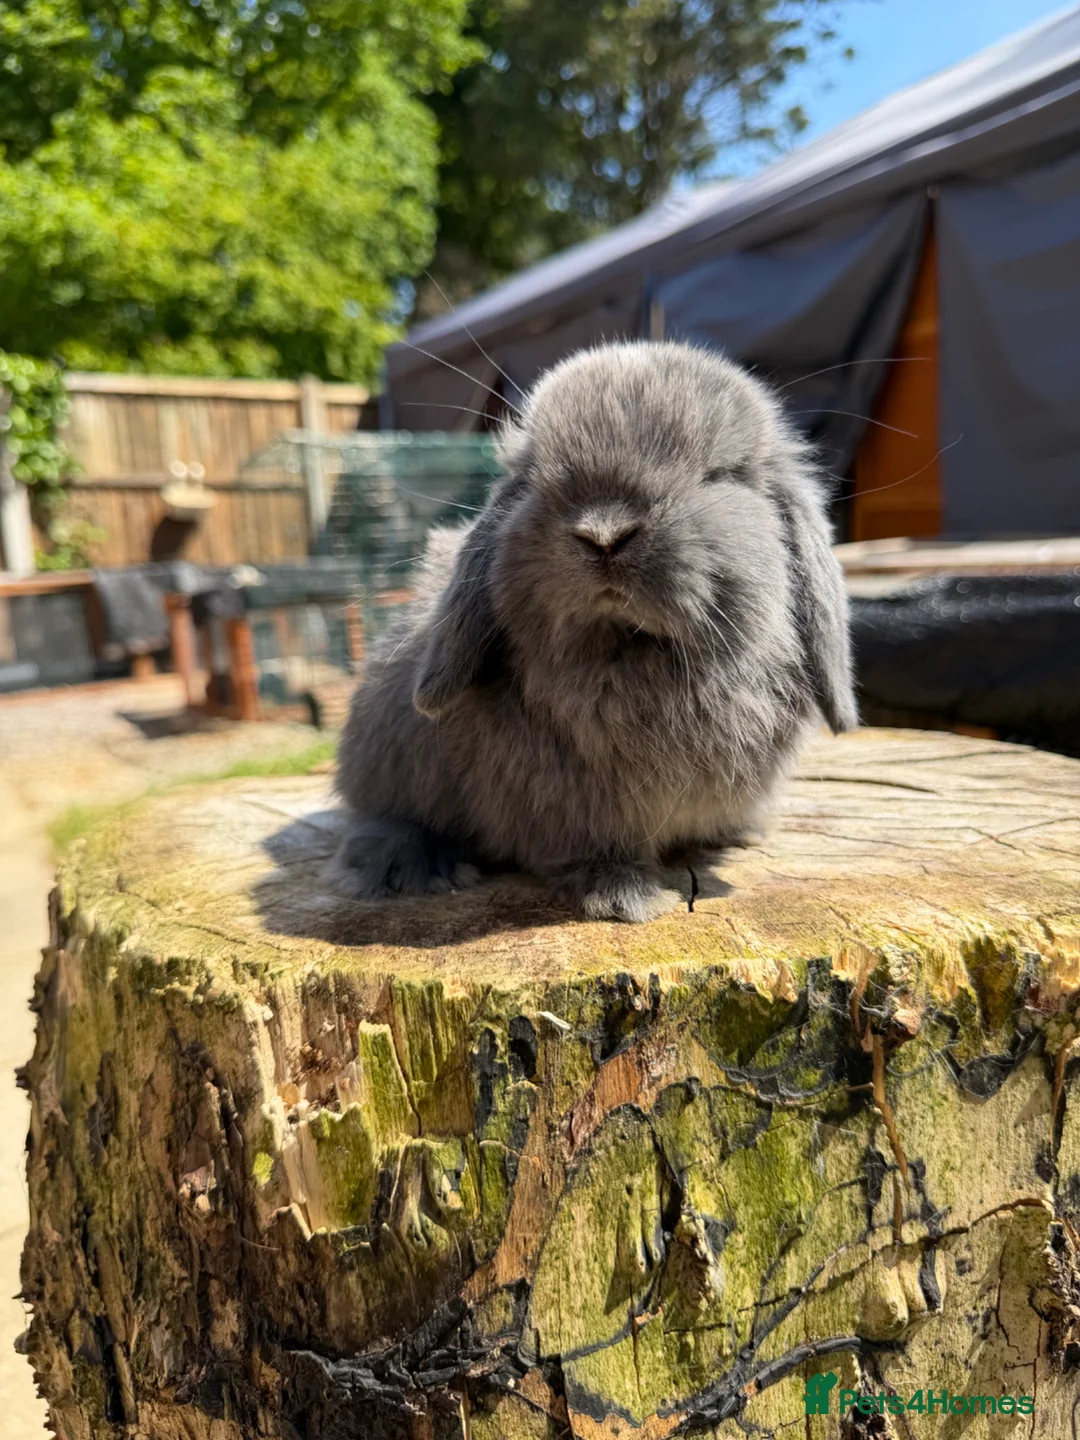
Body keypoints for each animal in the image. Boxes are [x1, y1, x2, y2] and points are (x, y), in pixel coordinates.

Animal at [332, 340, 857, 922]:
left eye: (720, 475)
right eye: (534, 477)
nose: (604, 533)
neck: (630, 653)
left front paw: (736, 835)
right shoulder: (563, 809)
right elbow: (590, 850)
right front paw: (626, 898)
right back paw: (417, 867)